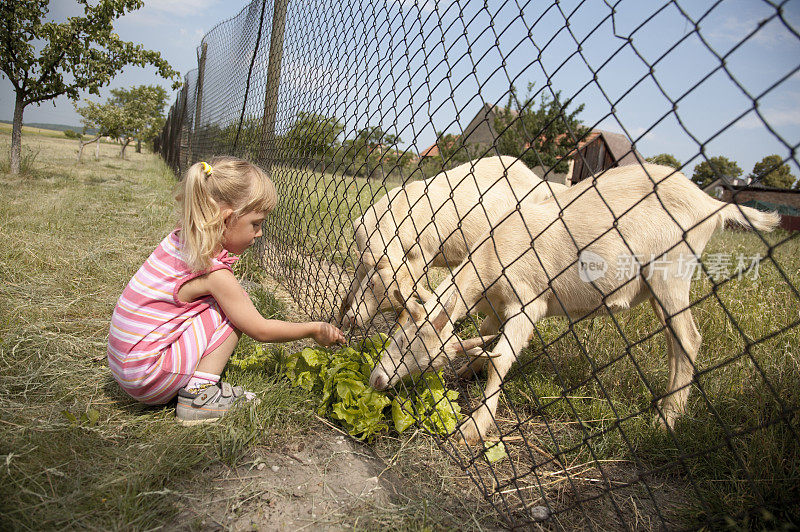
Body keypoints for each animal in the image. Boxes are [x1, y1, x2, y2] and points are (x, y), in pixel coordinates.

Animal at [340, 155, 568, 328]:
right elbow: (348, 296)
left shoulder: (422, 256)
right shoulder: (363, 258)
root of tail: (541, 182)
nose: (354, 320)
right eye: (371, 283)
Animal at [370, 163, 780, 444]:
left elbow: (502, 359)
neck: (492, 254)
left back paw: (666, 420)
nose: (376, 381)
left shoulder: (528, 300)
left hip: (671, 275)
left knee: (688, 339)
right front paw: (468, 370)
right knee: (676, 341)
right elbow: (487, 339)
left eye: (406, 342)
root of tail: (711, 205)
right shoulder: (496, 303)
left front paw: (475, 426)